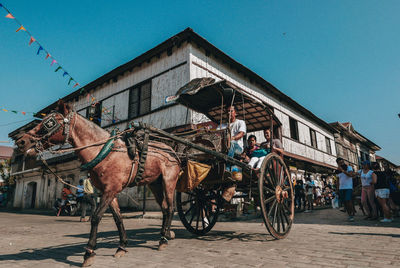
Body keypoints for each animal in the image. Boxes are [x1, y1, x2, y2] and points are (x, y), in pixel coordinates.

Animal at [15, 100, 181, 266]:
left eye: (49, 123)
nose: (21, 141)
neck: (105, 151)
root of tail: (173, 151)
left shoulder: (111, 190)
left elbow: (95, 217)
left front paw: (89, 252)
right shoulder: (108, 191)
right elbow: (118, 218)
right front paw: (121, 246)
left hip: (169, 181)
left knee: (170, 208)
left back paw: (163, 239)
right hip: (155, 184)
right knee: (164, 208)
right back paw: (165, 235)